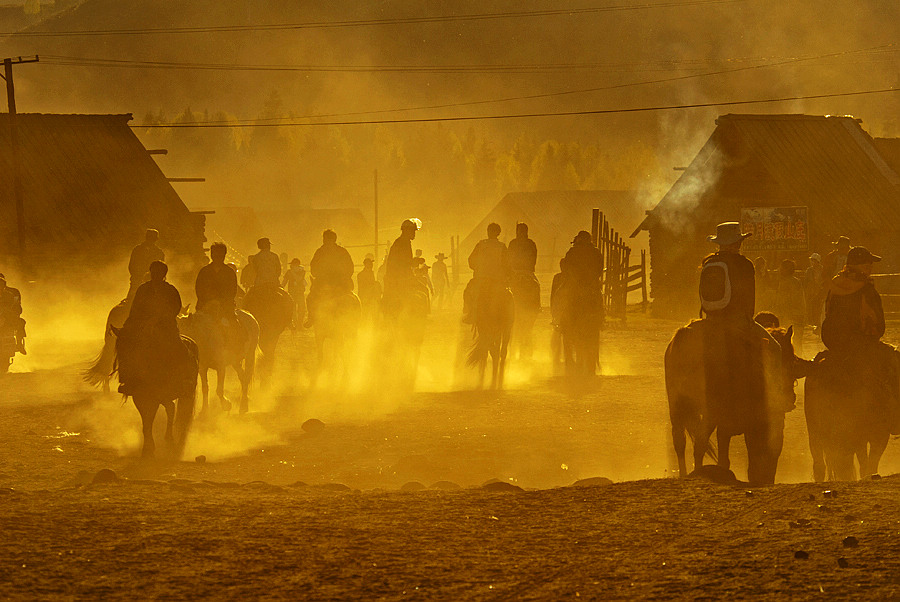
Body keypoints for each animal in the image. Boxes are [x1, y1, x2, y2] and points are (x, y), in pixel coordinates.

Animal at [664, 318, 800, 482]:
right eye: (792, 360)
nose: (791, 398)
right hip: (710, 413)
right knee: (699, 445)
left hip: (676, 407)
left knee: (680, 442)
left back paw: (685, 474)